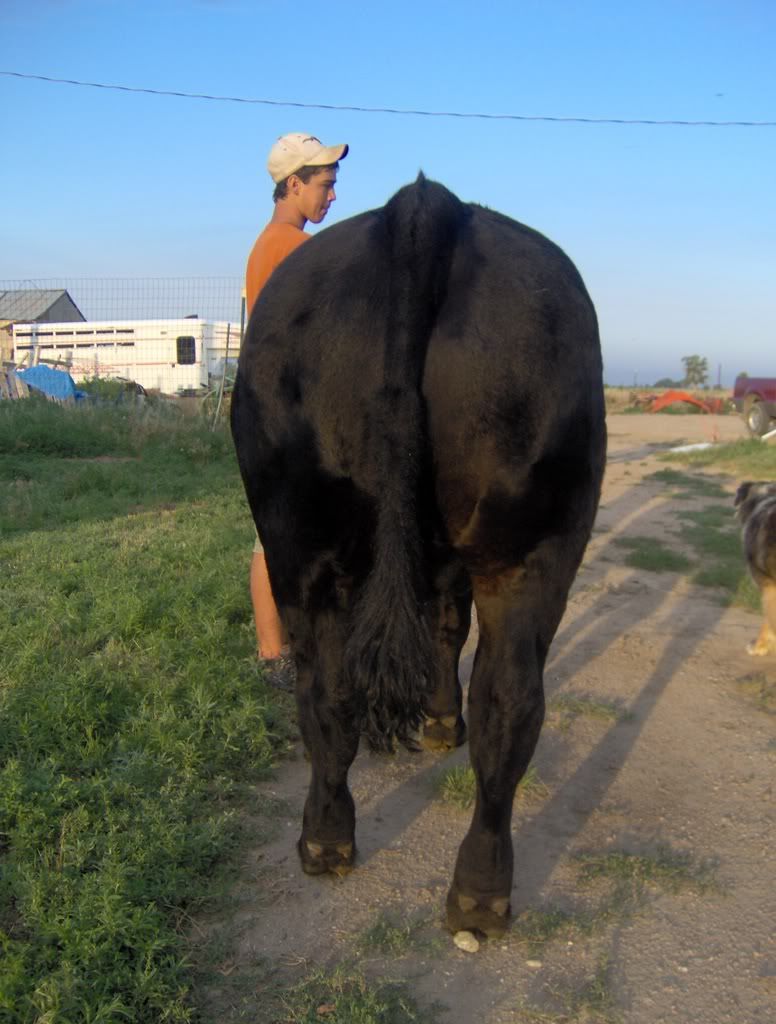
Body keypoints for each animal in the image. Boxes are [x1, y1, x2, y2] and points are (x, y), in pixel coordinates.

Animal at [231, 175, 606, 938]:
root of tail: (427, 205)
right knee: (505, 701)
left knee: (334, 692)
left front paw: (435, 720)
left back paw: (332, 842)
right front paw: (439, 719)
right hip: (528, 544)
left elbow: (443, 624)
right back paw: (475, 888)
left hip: (299, 539)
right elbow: (447, 624)